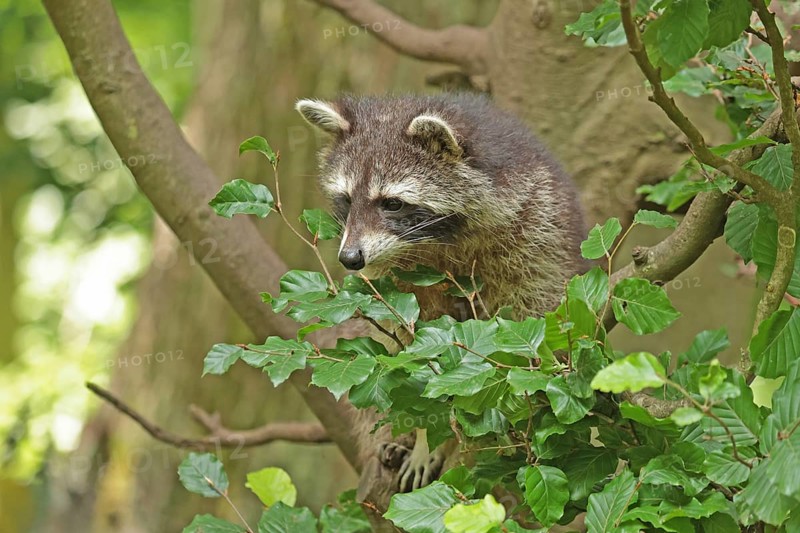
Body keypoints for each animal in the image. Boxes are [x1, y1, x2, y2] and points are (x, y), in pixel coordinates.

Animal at [296, 93, 587, 494]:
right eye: (347, 200)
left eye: (392, 203)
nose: (350, 259)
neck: (435, 239)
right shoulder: (396, 280)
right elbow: (409, 357)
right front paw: (422, 437)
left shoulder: (534, 234)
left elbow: (524, 329)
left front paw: (455, 446)